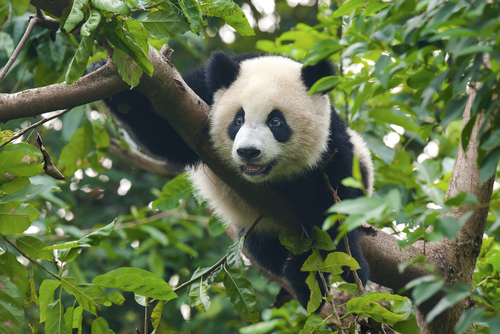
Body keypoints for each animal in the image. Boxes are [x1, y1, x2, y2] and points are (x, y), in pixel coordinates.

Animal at [103, 51, 374, 310]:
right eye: (238, 120)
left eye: (276, 121)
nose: (248, 152)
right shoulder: (196, 95)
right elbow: (165, 135)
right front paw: (114, 82)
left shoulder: (331, 146)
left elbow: (333, 207)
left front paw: (339, 268)